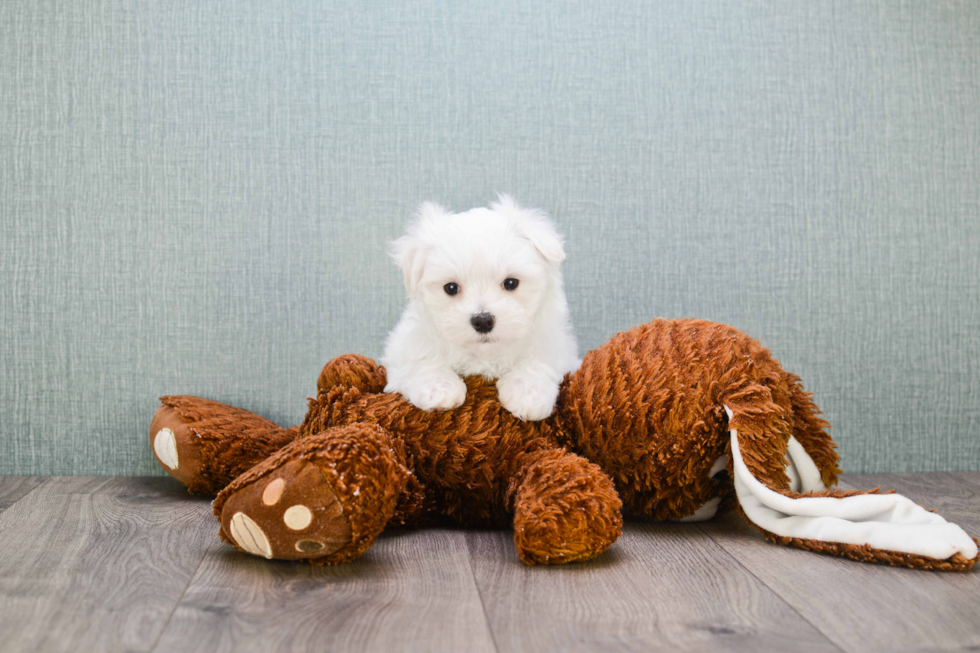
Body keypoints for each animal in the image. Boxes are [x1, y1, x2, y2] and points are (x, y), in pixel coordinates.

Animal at [380, 194, 580, 420]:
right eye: (451, 288)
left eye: (511, 283)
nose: (483, 320)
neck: (484, 353)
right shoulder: (404, 346)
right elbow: (419, 362)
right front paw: (438, 389)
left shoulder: (556, 346)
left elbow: (539, 361)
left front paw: (528, 394)